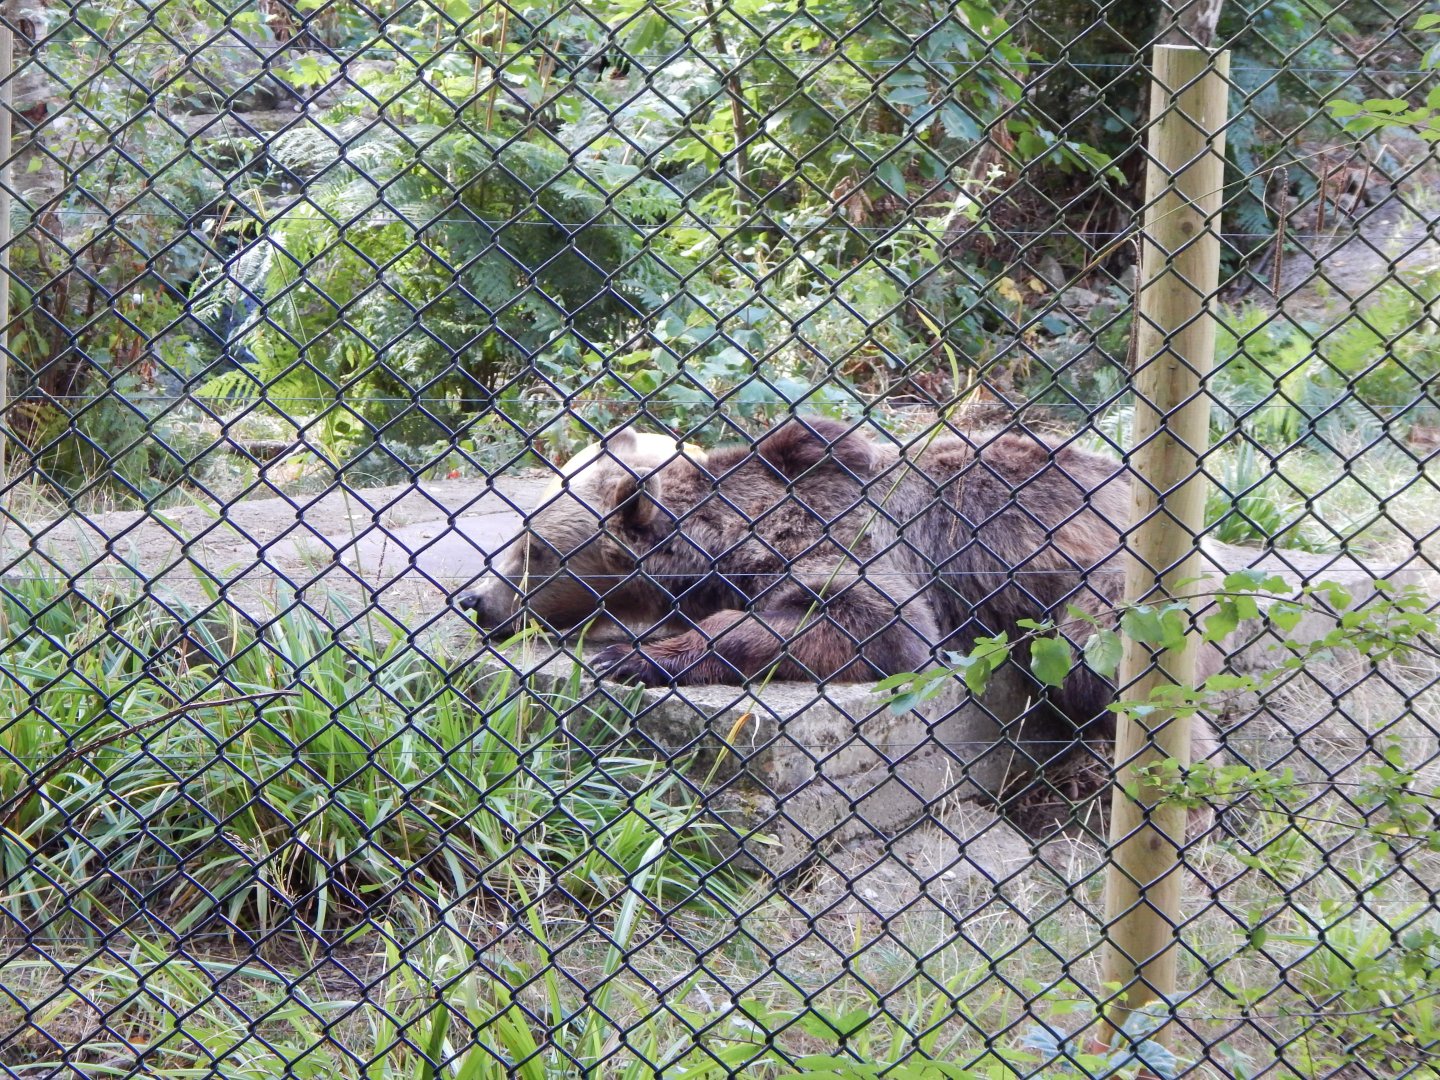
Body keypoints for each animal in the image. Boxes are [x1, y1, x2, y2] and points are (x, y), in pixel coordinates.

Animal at [458, 416, 1152, 746]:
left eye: (530, 549)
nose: (475, 602)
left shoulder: (843, 539)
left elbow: (872, 624)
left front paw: (633, 656)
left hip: (1097, 580)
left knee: (1099, 662)